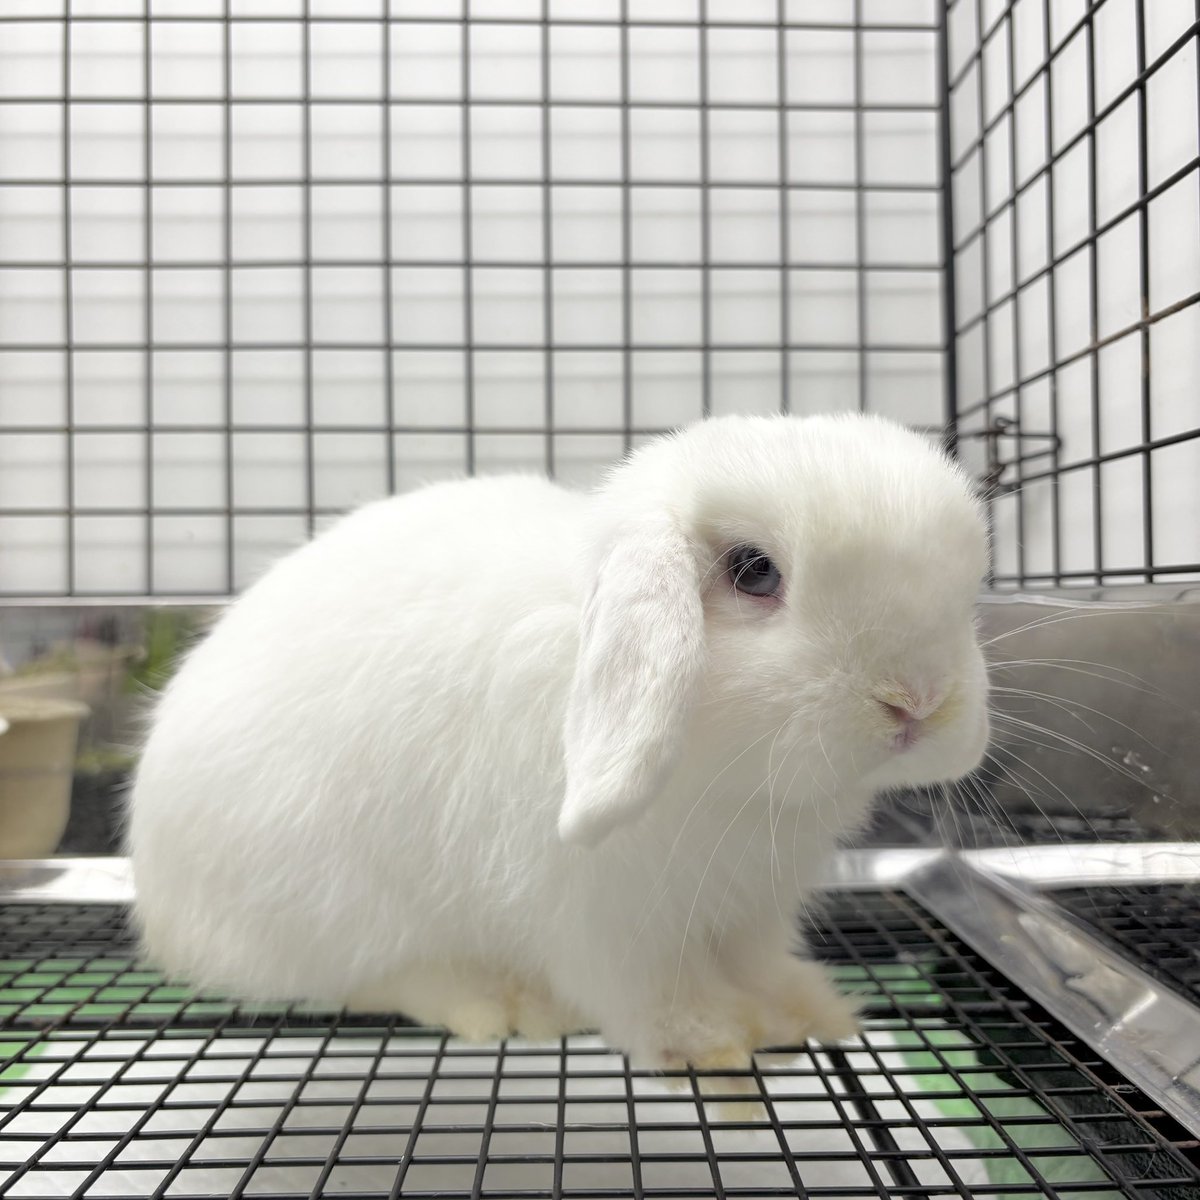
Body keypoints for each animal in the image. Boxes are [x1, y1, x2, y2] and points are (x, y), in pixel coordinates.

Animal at [128, 412, 990, 1074]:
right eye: (754, 571)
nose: (917, 699)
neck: (729, 787)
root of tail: (160, 907)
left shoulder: (753, 905)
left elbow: (757, 963)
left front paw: (808, 1012)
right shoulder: (601, 915)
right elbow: (647, 990)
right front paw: (709, 1042)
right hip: (333, 909)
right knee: (375, 978)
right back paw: (500, 1004)